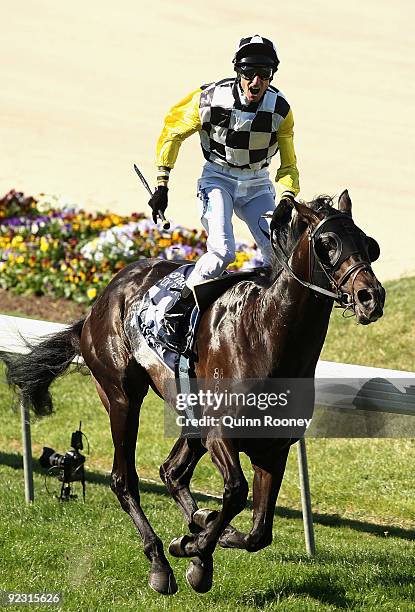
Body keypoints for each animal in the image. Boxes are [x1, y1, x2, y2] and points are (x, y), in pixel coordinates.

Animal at [2, 190, 386, 592]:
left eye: (368, 244)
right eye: (327, 244)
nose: (370, 297)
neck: (265, 334)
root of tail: (97, 305)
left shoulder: (274, 446)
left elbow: (259, 532)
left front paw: (202, 539)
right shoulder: (221, 434)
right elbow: (235, 492)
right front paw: (196, 552)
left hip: (189, 417)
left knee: (172, 471)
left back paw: (198, 526)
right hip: (122, 396)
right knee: (124, 480)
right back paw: (159, 562)